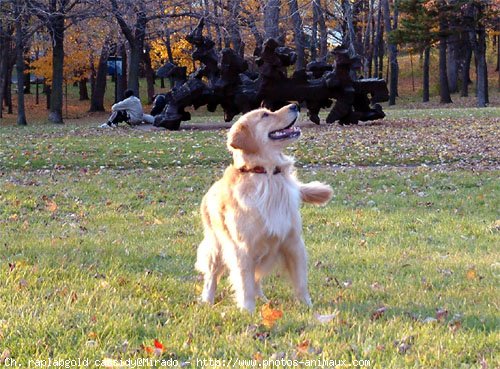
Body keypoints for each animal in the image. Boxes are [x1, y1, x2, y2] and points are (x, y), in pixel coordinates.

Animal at [195, 103, 332, 310]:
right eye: (265, 115)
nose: (295, 105)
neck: (267, 174)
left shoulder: (293, 242)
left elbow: (301, 282)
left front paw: (308, 307)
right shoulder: (243, 249)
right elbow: (245, 284)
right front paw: (247, 311)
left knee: (256, 280)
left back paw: (264, 300)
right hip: (216, 247)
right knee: (212, 276)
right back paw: (207, 301)